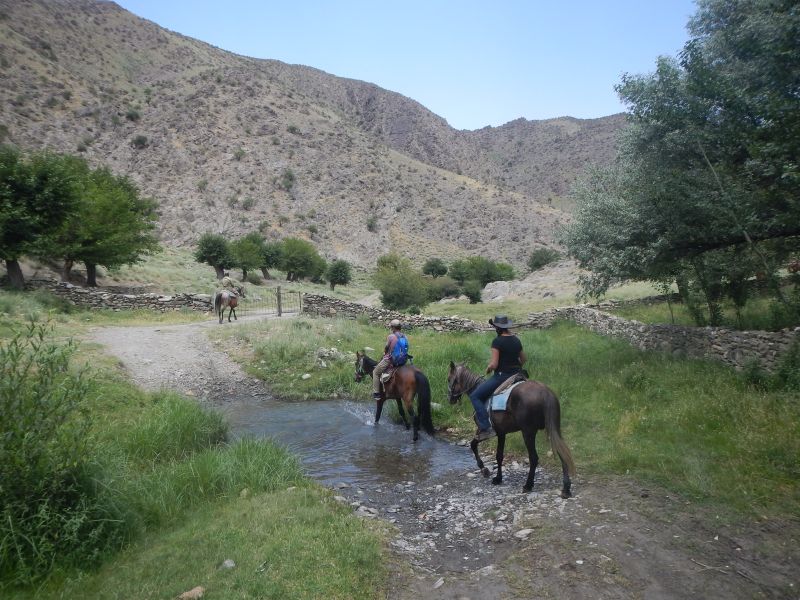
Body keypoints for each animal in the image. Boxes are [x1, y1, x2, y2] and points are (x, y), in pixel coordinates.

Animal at [444, 360, 576, 496]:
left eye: (449, 379)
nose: (450, 399)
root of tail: (545, 393)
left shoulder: (483, 430)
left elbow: (473, 445)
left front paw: (484, 469)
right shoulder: (502, 433)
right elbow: (499, 455)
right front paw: (498, 478)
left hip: (528, 432)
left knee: (534, 458)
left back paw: (528, 485)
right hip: (553, 429)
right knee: (562, 452)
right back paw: (566, 488)